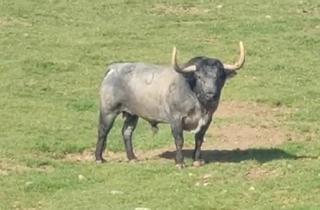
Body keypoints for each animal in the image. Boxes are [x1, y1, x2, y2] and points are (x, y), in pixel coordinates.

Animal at [94, 41, 245, 168]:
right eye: (199, 76)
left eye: (220, 76)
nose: (211, 94)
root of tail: (114, 68)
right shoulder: (176, 119)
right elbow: (179, 140)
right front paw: (180, 162)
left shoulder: (207, 120)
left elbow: (199, 139)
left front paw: (197, 160)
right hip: (108, 110)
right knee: (103, 131)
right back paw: (99, 158)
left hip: (132, 114)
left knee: (127, 132)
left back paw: (132, 157)